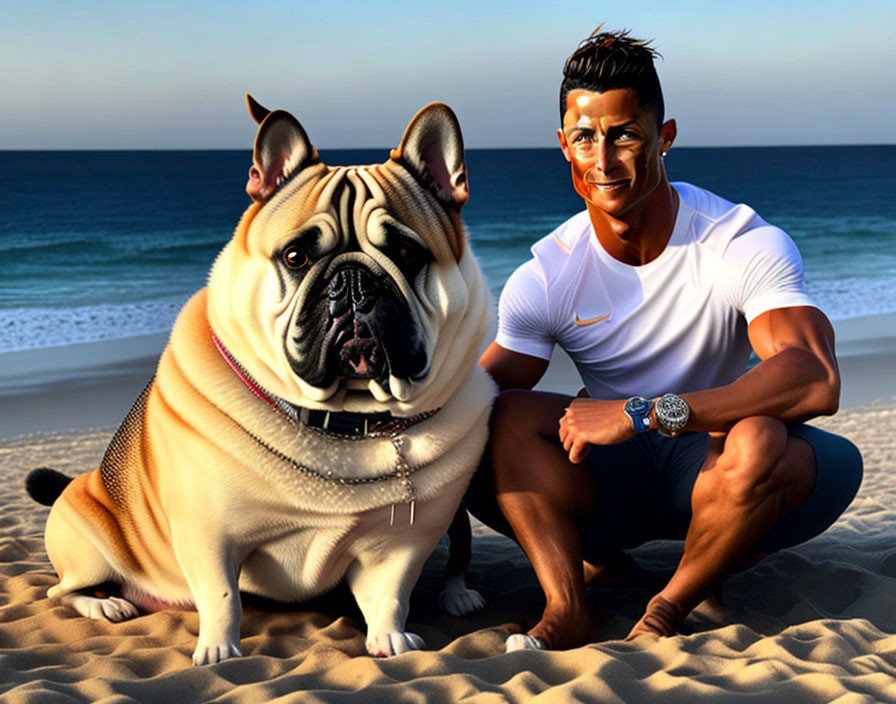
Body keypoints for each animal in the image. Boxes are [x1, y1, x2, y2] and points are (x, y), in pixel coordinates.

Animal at [24, 95, 496, 664]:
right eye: (296, 257)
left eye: (407, 254)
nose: (353, 280)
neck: (345, 420)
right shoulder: (209, 533)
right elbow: (222, 594)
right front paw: (219, 650)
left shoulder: (401, 544)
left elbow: (390, 594)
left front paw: (388, 637)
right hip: (88, 542)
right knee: (64, 590)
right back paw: (106, 603)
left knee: (460, 548)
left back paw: (459, 594)